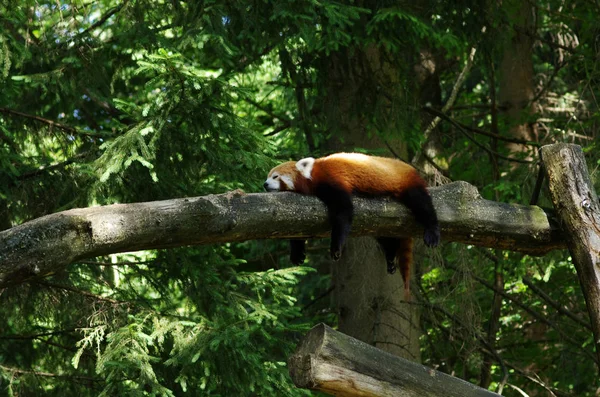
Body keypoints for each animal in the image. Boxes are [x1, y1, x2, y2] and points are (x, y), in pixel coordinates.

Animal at [264, 152, 440, 296]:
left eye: (275, 177)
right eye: (268, 176)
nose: (264, 184)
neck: (313, 174)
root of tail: (411, 168)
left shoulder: (332, 180)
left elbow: (344, 211)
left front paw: (336, 247)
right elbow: (298, 229)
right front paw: (297, 253)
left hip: (407, 183)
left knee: (422, 204)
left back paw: (432, 232)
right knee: (383, 237)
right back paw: (390, 256)